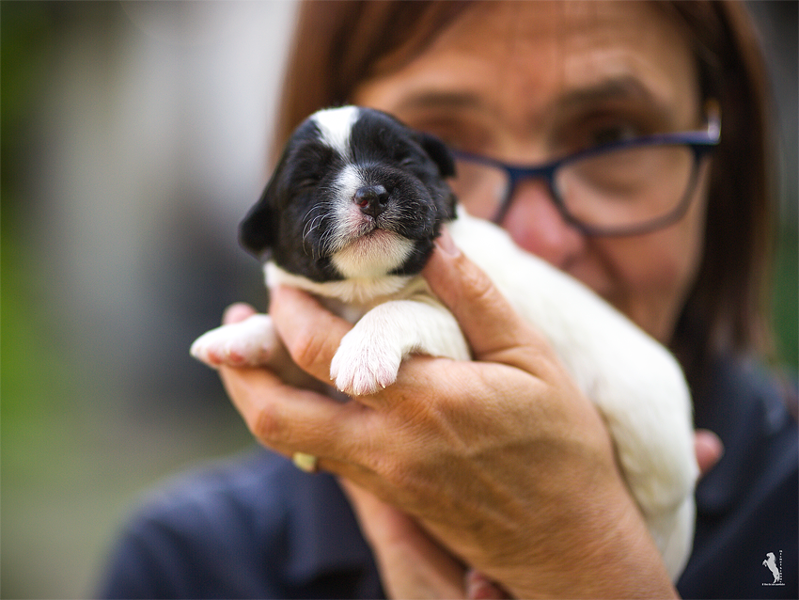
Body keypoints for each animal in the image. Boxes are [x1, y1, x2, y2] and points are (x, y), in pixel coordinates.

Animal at [192, 105, 700, 580]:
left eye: (403, 158)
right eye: (309, 180)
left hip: (650, 435)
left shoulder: (459, 334)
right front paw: (238, 335)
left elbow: (401, 311)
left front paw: (362, 352)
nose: (372, 194)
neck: (367, 289)